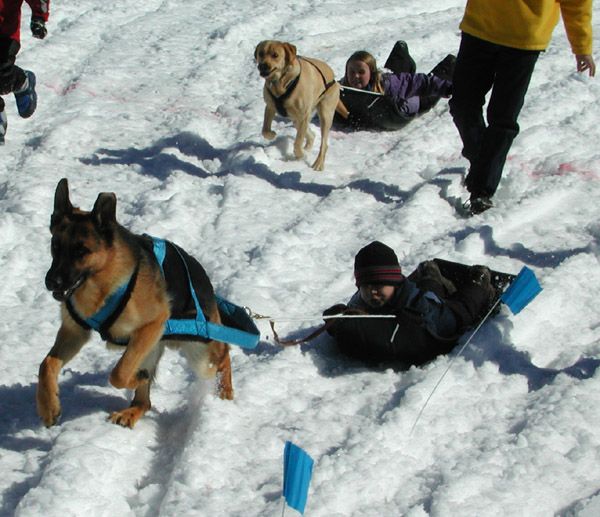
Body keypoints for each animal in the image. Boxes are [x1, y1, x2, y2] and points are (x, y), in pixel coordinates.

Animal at [37, 177, 233, 428]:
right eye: (55, 246)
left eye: (82, 251)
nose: (51, 281)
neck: (103, 278)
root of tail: (203, 277)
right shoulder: (74, 332)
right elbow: (47, 364)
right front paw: (49, 406)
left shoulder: (152, 325)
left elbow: (118, 373)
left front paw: (134, 377)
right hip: (153, 347)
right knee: (145, 401)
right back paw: (132, 409)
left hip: (197, 351)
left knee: (224, 356)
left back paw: (225, 392)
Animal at [254, 39, 342, 171]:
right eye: (261, 53)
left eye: (275, 55)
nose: (263, 65)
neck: (281, 82)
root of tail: (334, 79)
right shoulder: (270, 107)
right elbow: (265, 130)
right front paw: (272, 134)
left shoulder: (303, 115)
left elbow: (297, 142)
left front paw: (300, 154)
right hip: (296, 118)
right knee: (312, 135)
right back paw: (307, 148)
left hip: (325, 114)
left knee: (324, 144)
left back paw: (318, 163)